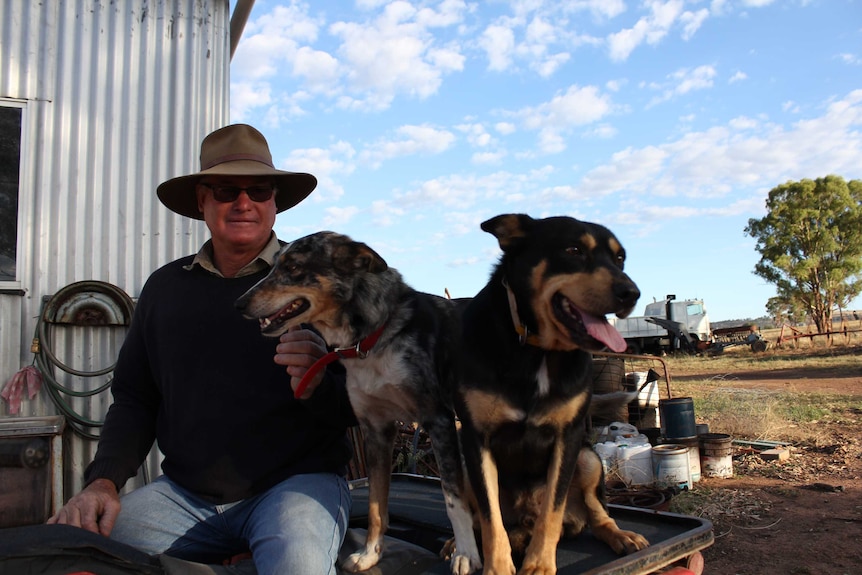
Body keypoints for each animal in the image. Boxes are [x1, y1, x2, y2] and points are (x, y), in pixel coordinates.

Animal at [233, 231, 482, 575]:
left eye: (293, 267)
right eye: (273, 266)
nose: (239, 304)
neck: (374, 339)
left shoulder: (438, 421)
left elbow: (453, 499)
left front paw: (467, 555)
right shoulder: (376, 431)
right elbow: (377, 505)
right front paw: (370, 554)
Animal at [460, 215, 648, 575]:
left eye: (620, 259)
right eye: (573, 250)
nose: (632, 293)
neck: (538, 351)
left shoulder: (568, 437)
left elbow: (552, 511)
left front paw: (539, 565)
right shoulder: (477, 442)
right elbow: (491, 520)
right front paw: (497, 566)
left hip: (589, 459)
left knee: (596, 516)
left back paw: (621, 535)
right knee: (479, 520)